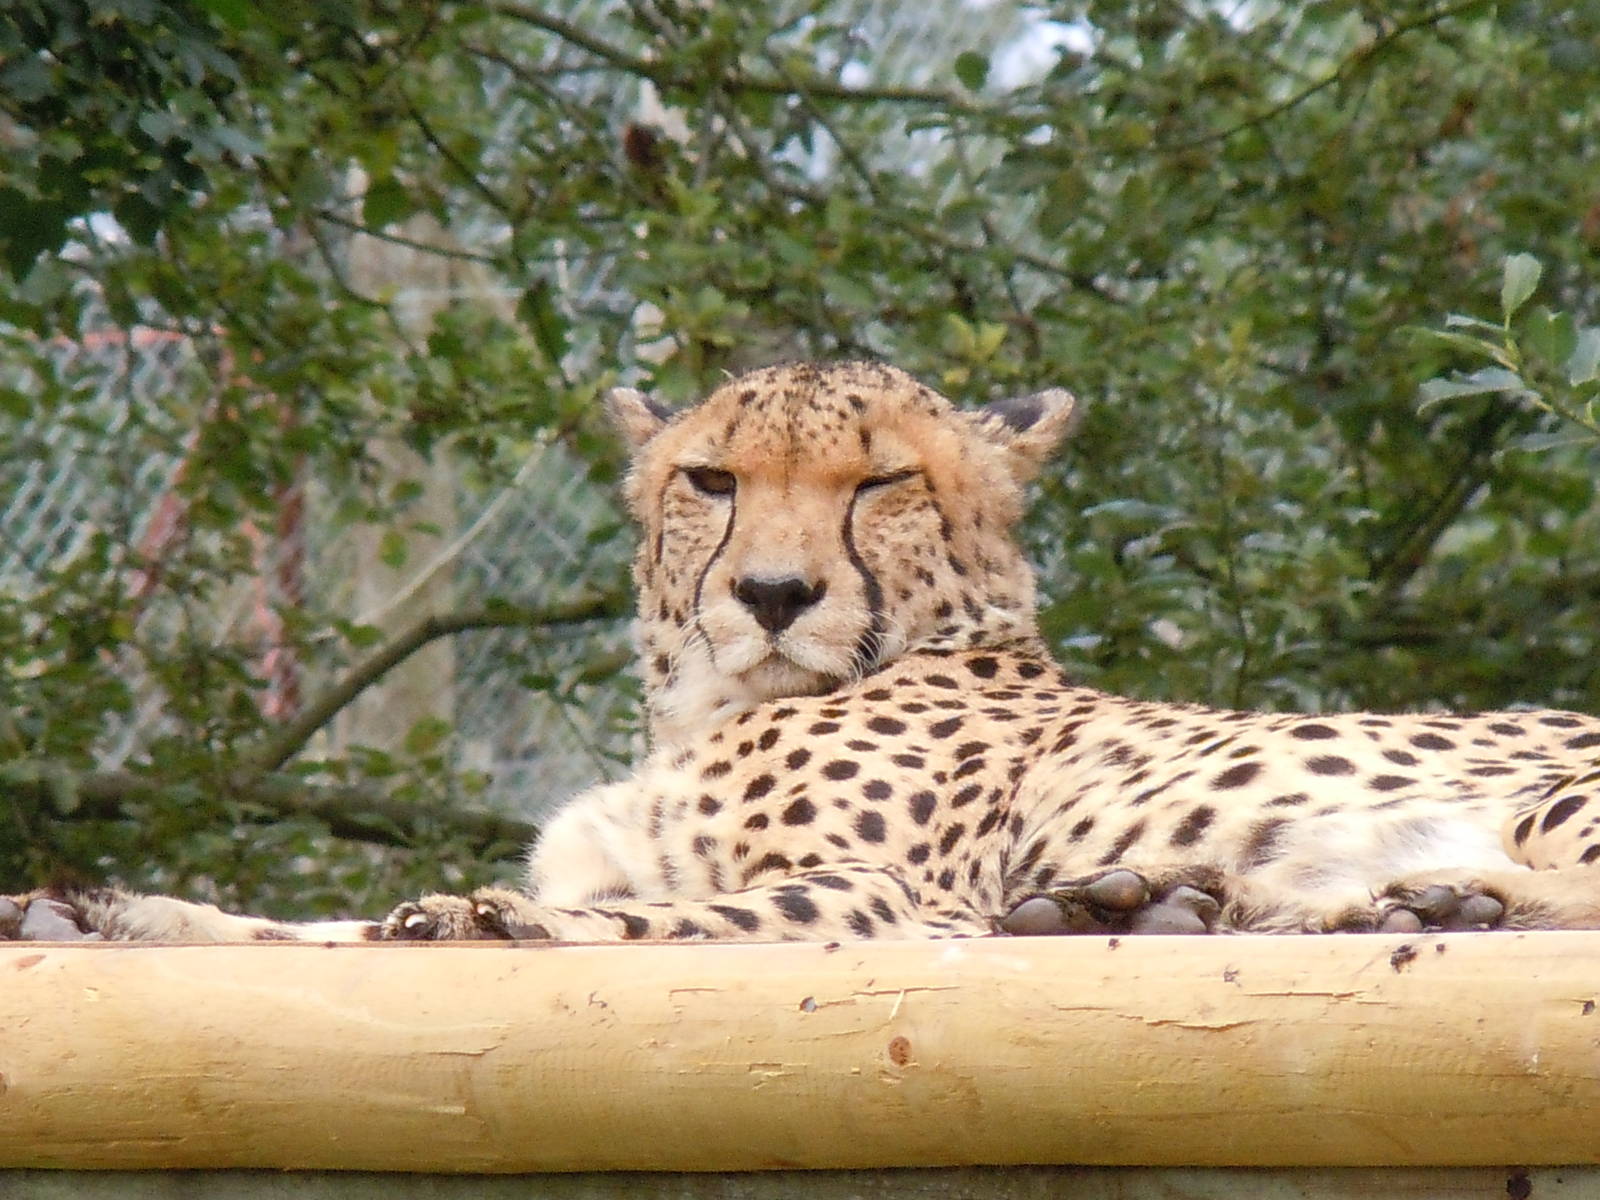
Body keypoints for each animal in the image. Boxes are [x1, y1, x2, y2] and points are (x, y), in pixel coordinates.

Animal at [6, 359, 1600, 946]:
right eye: (710, 481)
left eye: (878, 483)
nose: (772, 593)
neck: (708, 706)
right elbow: (310, 931)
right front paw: (105, 912)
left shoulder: (898, 899)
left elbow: (665, 922)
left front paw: (484, 920)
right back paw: (1205, 901)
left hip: (1551, 796)